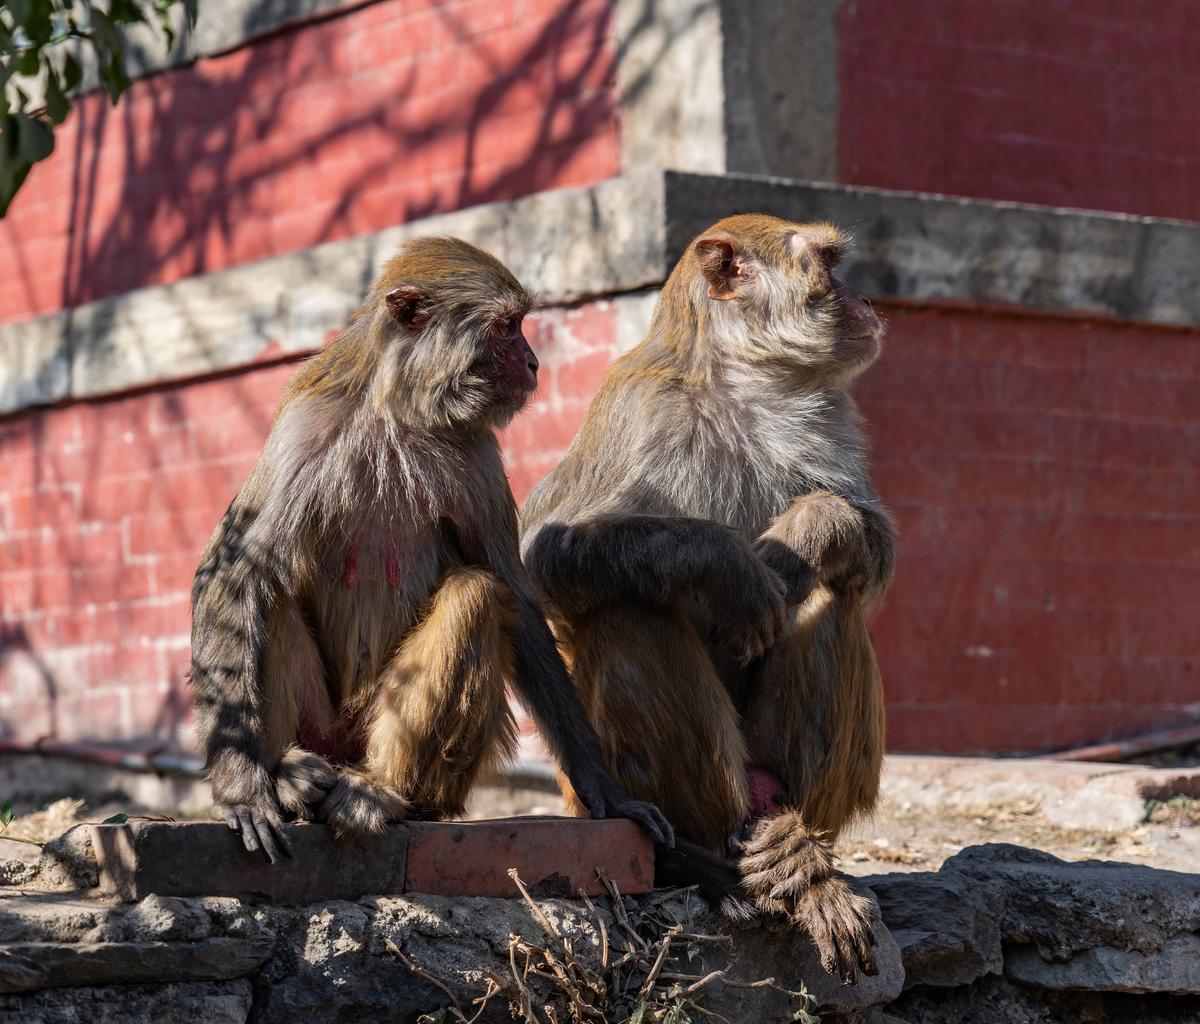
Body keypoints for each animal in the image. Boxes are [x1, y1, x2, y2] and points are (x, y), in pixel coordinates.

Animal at [190, 234, 672, 864]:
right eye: (508, 327)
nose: (534, 363)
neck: (402, 412)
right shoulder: (306, 430)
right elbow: (237, 575)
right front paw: (241, 788)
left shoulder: (479, 454)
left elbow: (516, 601)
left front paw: (601, 787)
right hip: (324, 725)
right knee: (267, 595)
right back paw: (288, 775)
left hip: (401, 751)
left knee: (476, 596)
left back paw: (382, 793)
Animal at [520, 216, 897, 984]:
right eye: (828, 266)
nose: (865, 301)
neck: (744, 386)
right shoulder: (638, 408)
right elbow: (544, 550)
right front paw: (726, 568)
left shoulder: (832, 415)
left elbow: (870, 544)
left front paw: (809, 530)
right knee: (627, 609)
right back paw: (710, 855)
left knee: (833, 592)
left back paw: (791, 848)